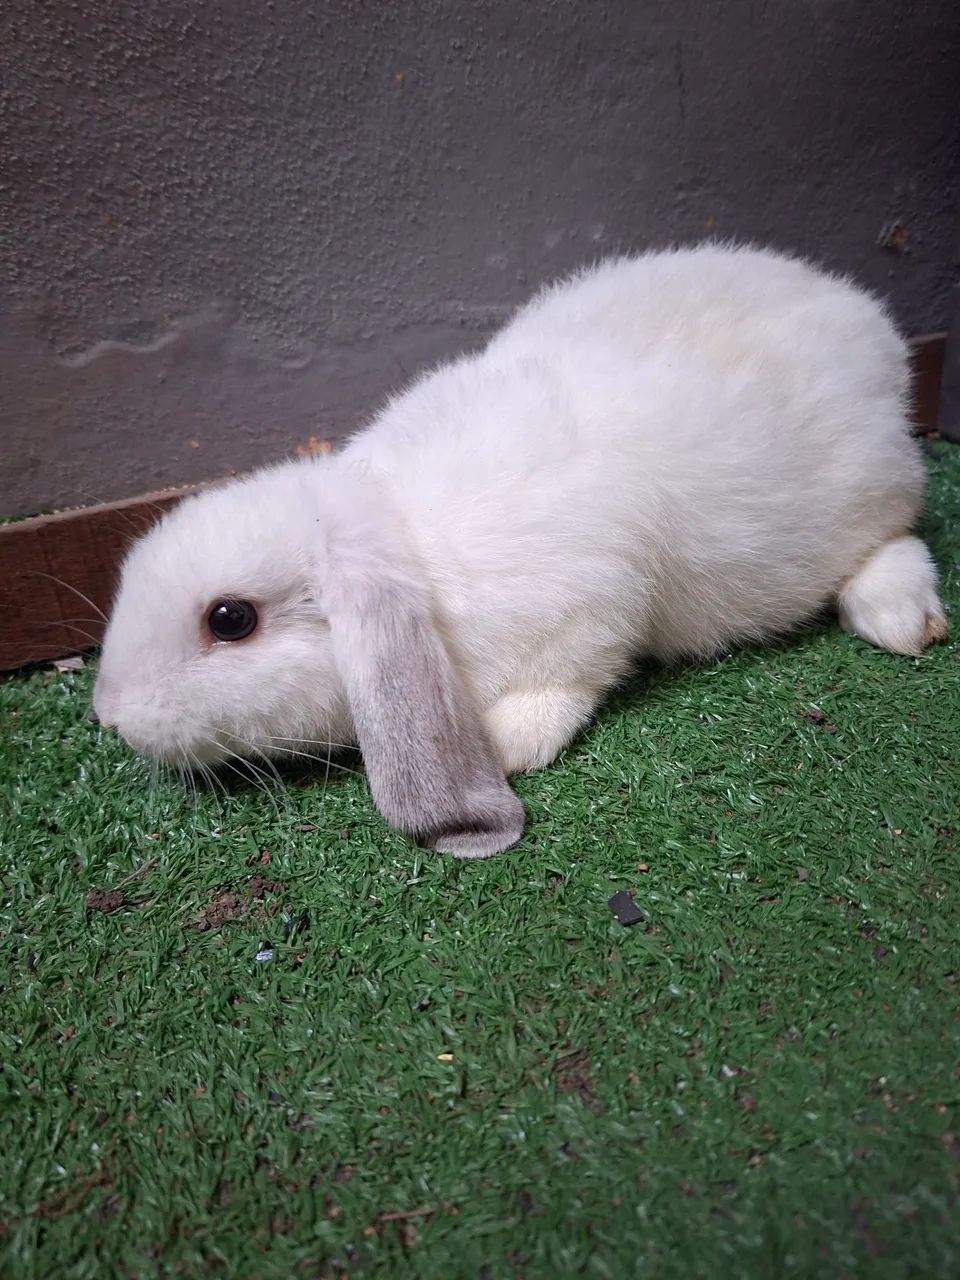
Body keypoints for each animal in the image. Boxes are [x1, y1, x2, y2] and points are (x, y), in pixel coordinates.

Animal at [93, 242, 947, 858]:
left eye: (230, 619)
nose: (108, 714)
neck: (401, 541)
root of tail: (872, 326)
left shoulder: (595, 595)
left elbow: (574, 673)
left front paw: (502, 742)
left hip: (870, 485)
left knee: (897, 533)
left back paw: (900, 617)